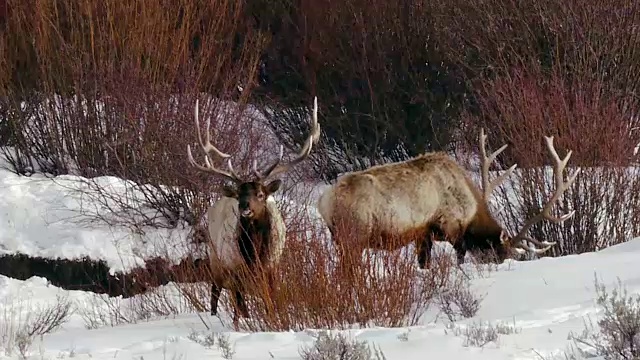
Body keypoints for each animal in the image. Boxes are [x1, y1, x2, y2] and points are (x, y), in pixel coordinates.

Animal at [188, 97, 322, 320]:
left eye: (260, 194)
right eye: (239, 194)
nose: (244, 207)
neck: (255, 254)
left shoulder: (271, 267)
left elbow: (270, 302)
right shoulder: (235, 267)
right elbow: (241, 308)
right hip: (216, 258)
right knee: (216, 294)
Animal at [318, 128, 584, 268]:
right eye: (502, 252)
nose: (506, 263)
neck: (472, 209)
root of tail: (324, 203)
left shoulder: (423, 233)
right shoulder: (452, 226)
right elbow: (460, 257)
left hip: (341, 239)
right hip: (354, 235)